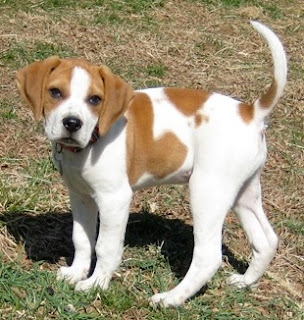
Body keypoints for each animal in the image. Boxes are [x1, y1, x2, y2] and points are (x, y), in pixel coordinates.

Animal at [16, 21, 288, 306]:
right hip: (243, 192)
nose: (72, 123)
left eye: (95, 99)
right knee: (266, 240)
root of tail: (251, 112)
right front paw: (76, 273)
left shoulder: (114, 199)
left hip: (207, 192)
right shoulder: (81, 196)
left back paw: (171, 299)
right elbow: (82, 238)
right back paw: (246, 281)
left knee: (208, 256)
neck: (91, 141)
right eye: (55, 92)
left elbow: (105, 246)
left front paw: (96, 284)